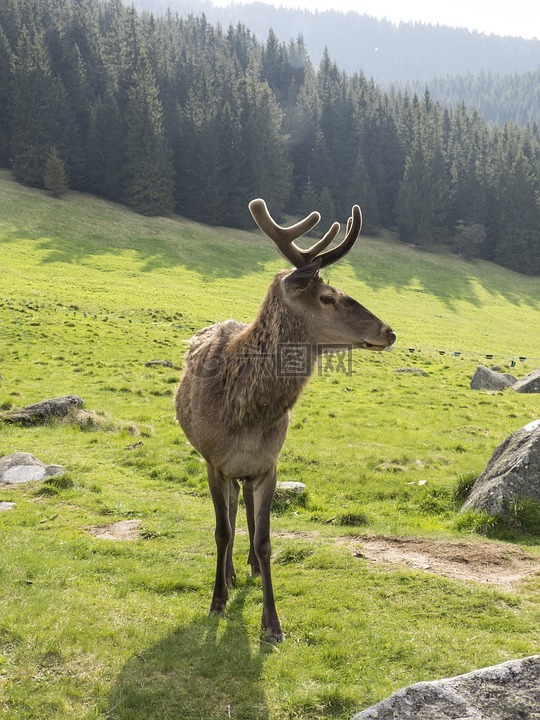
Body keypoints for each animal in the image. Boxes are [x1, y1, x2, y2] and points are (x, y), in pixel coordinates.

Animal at [175, 198, 394, 640]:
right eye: (327, 297)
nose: (389, 331)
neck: (245, 413)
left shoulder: (269, 464)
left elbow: (264, 539)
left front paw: (272, 623)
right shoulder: (213, 462)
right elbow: (221, 530)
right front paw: (217, 600)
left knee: (242, 507)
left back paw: (249, 569)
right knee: (229, 513)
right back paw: (229, 575)